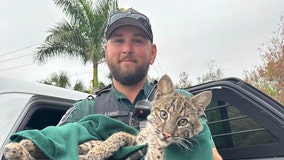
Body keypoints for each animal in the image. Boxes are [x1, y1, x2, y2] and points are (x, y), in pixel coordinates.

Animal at [3, 74, 212, 159]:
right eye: (164, 114)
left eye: (182, 122)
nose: (167, 135)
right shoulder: (136, 140)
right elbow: (118, 135)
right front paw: (100, 151)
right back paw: (25, 144)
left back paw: (17, 149)